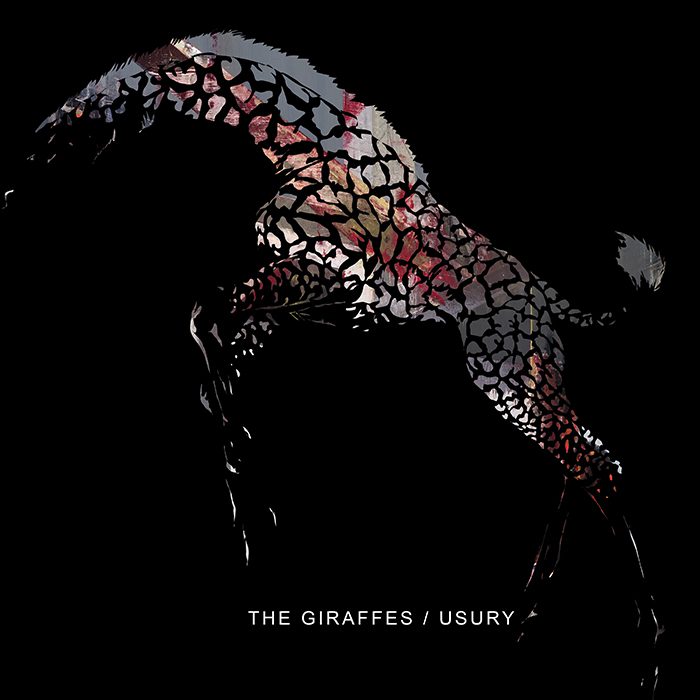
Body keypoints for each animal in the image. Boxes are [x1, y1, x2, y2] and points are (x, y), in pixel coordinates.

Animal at [11, 31, 665, 696]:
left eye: (82, 112)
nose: (24, 174)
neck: (300, 143)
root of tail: (545, 295)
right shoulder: (313, 294)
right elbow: (217, 346)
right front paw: (245, 485)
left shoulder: (322, 276)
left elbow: (206, 318)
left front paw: (254, 517)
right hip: (526, 364)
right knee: (587, 457)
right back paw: (530, 616)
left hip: (499, 365)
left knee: (591, 462)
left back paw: (643, 651)